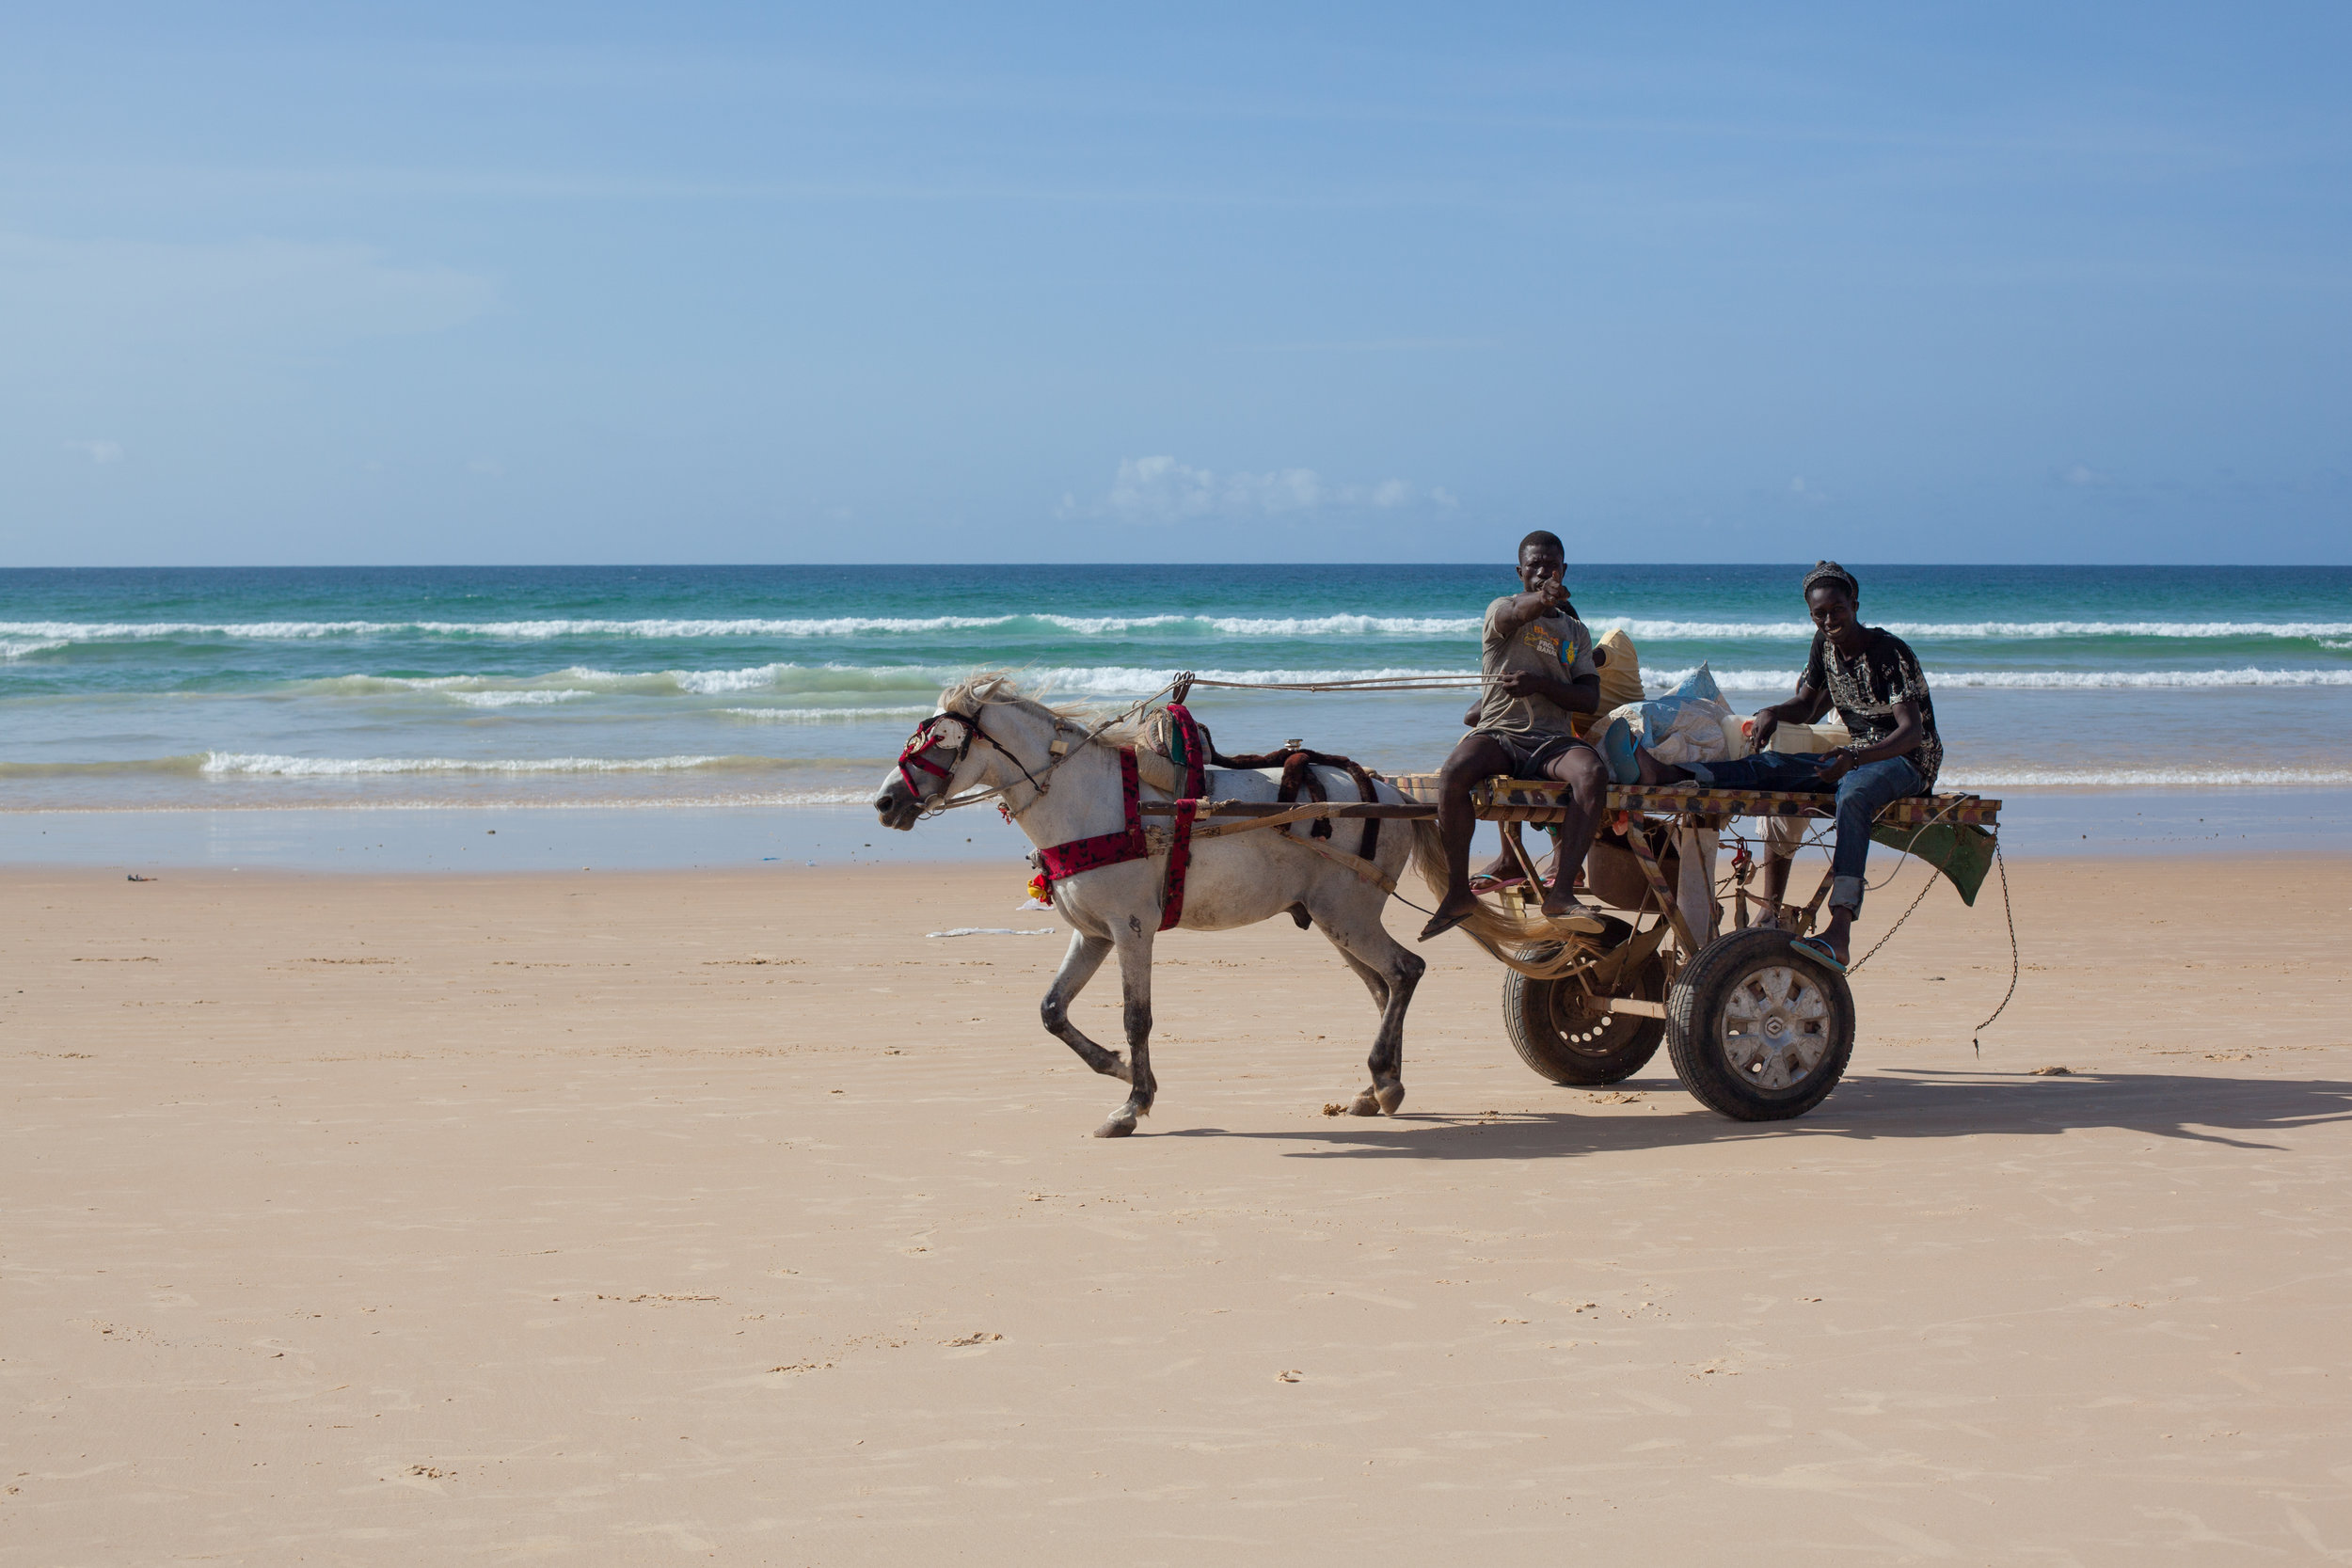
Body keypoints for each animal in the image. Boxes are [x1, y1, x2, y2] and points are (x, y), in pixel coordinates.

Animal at [880, 676, 1430, 1142]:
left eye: (939, 739)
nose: (885, 803)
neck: (1093, 802)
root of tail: (1390, 793)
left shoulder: (1132, 929)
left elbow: (1135, 1018)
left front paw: (1133, 1103)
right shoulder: (1094, 933)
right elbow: (1052, 1010)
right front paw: (1118, 1068)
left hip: (1347, 914)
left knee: (1405, 970)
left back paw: (1385, 1083)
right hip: (1335, 920)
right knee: (1383, 986)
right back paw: (1377, 1086)